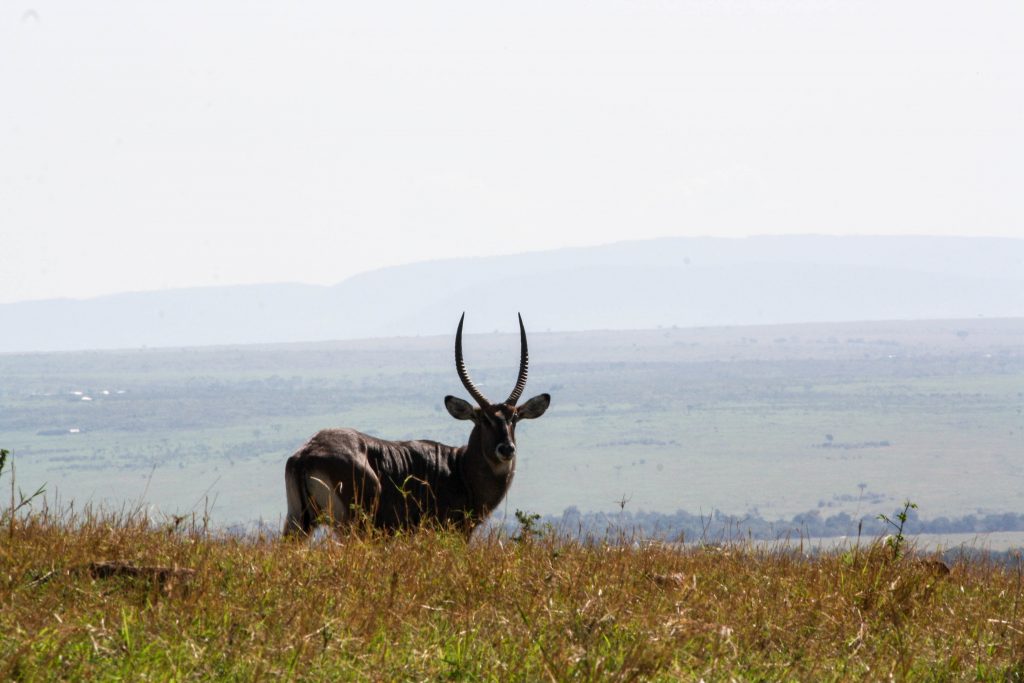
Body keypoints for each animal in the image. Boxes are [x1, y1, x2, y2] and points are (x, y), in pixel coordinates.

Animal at [280, 315, 552, 540]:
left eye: (514, 418)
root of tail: (307, 453)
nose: (506, 449)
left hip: (299, 523)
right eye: (483, 418)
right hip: (352, 527)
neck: (459, 468)